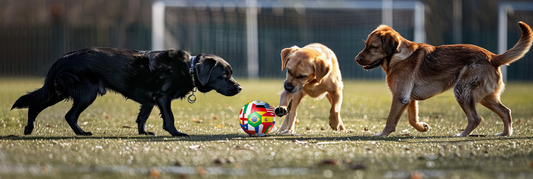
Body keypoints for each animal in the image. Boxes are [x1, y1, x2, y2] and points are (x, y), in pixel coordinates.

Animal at [12, 46, 241, 136]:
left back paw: (29, 128)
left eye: (230, 73)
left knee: (35, 105)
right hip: (86, 93)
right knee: (69, 115)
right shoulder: (162, 97)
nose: (239, 87)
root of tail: (62, 59)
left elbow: (142, 117)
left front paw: (143, 133)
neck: (190, 68)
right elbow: (170, 118)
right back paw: (82, 133)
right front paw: (176, 133)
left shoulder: (150, 100)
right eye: (223, 75)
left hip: (58, 92)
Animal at [354, 22, 532, 137]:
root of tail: (493, 57)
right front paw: (422, 127)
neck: (399, 55)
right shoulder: (409, 98)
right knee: (505, 112)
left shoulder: (400, 97)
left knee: (476, 118)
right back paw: (505, 134)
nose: (356, 59)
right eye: (366, 45)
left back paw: (461, 135)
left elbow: (390, 120)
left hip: (462, 91)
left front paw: (382, 135)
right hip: (485, 97)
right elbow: (412, 119)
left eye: (373, 47)